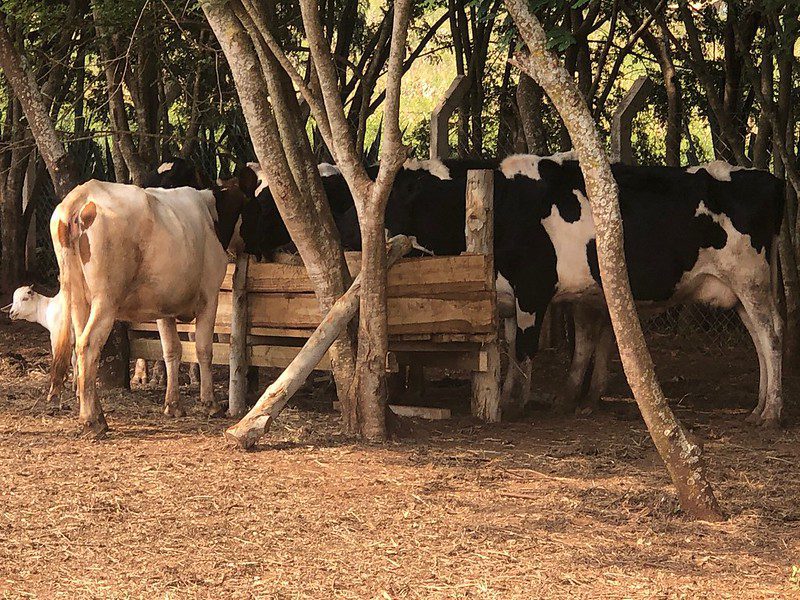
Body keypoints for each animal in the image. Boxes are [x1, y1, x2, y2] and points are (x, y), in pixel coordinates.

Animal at [49, 178, 244, 436]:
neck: (210, 211)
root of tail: (83, 194)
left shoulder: (164, 306)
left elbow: (172, 350)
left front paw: (173, 405)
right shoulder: (210, 296)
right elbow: (203, 349)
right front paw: (210, 404)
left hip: (80, 299)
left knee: (78, 345)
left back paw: (96, 413)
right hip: (105, 300)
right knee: (87, 345)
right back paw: (92, 421)